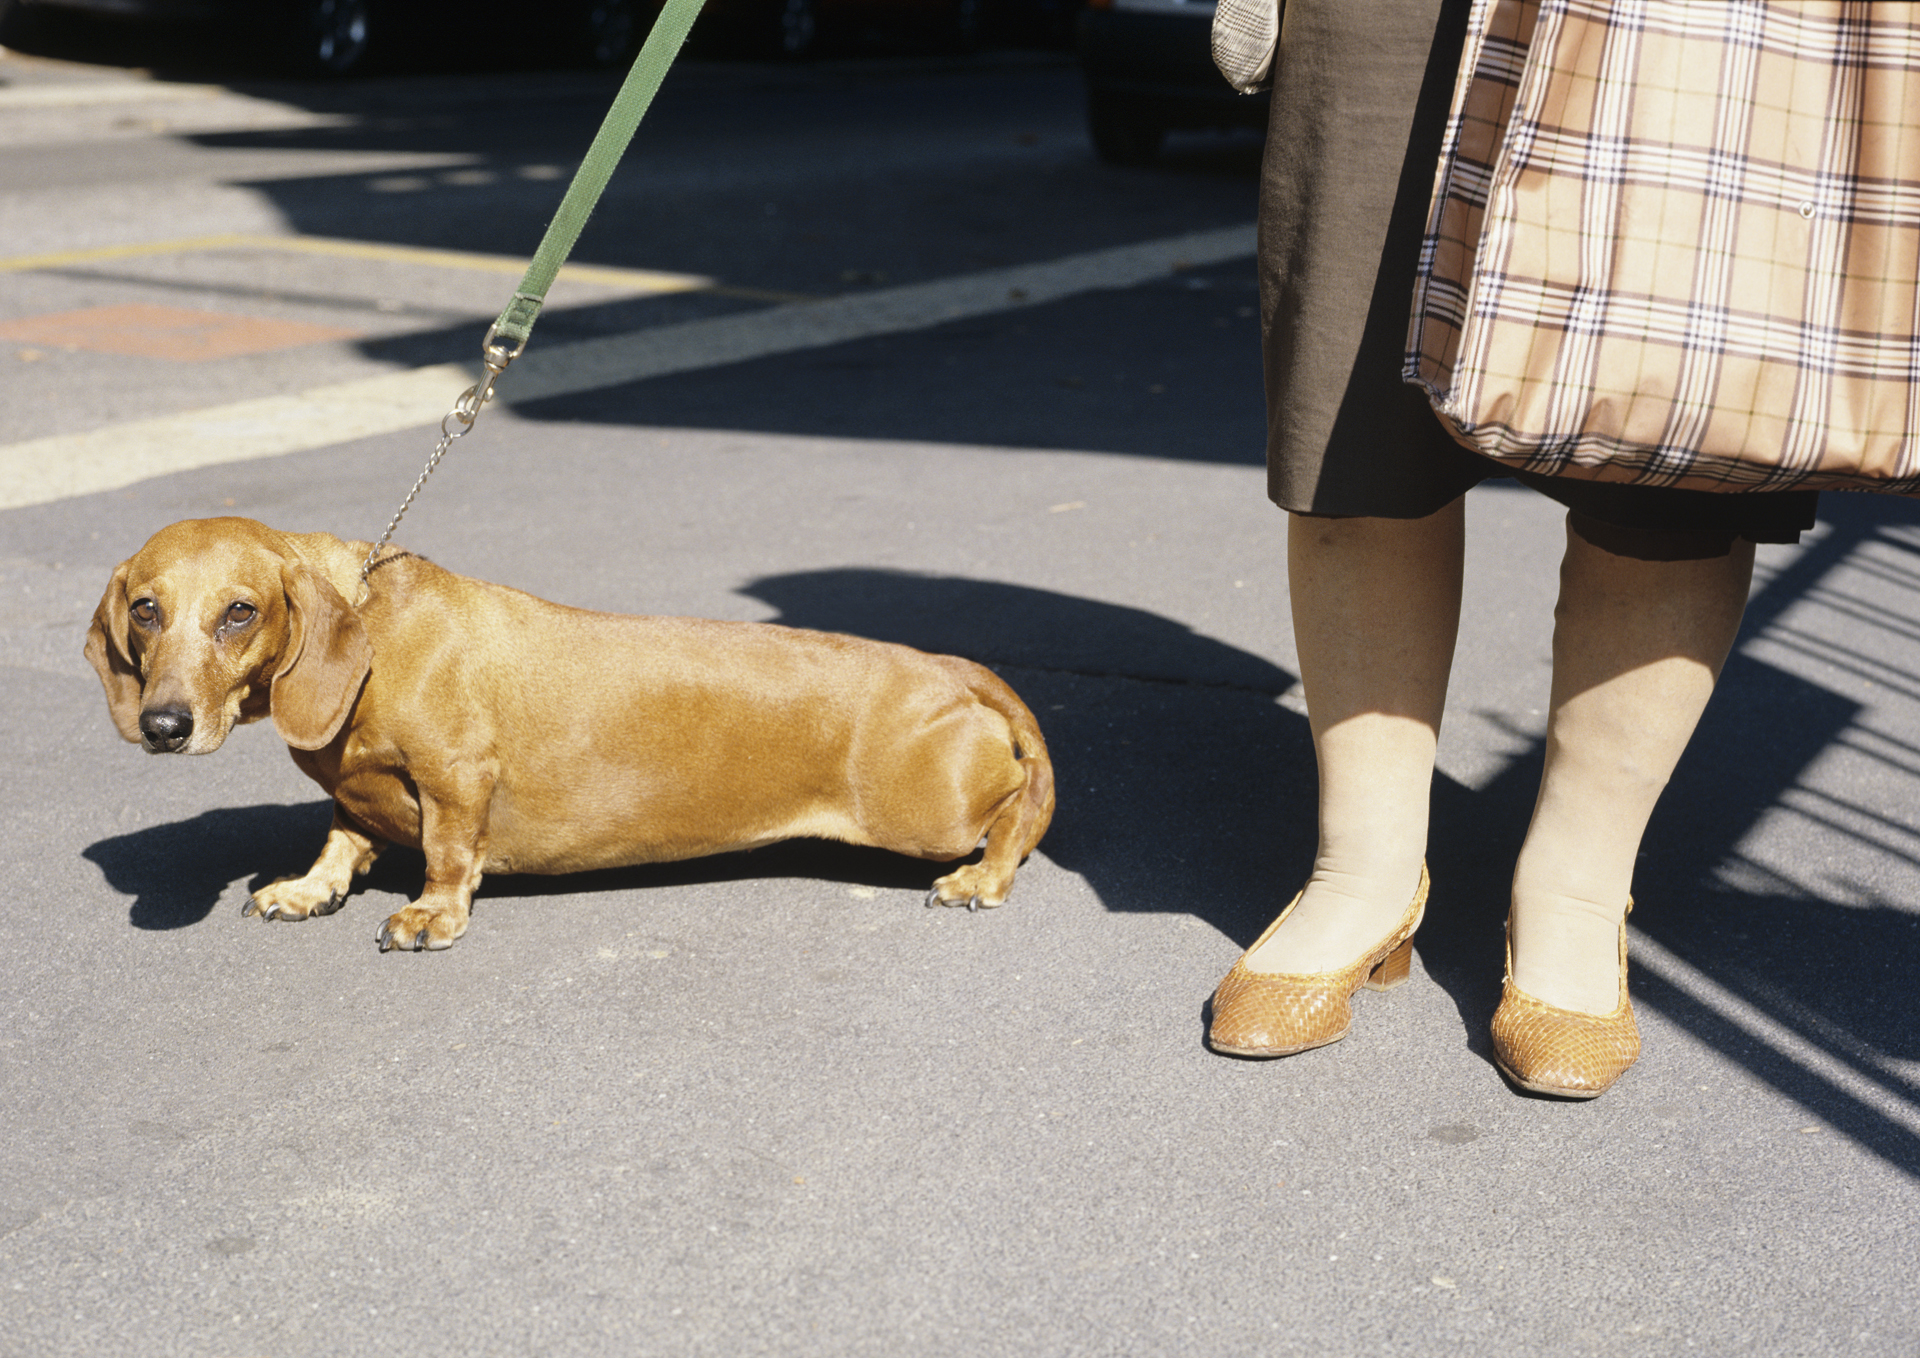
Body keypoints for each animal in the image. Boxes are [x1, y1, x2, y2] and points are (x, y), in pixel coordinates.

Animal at [86, 514, 1052, 952]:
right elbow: (341, 842)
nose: (163, 726)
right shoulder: (356, 799)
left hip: (922, 814)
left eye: (239, 612)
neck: (375, 635)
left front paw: (431, 915)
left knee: (1017, 816)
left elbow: (447, 854)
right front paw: (305, 890)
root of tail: (955, 669)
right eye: (146, 609)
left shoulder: (457, 778)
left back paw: (982, 878)